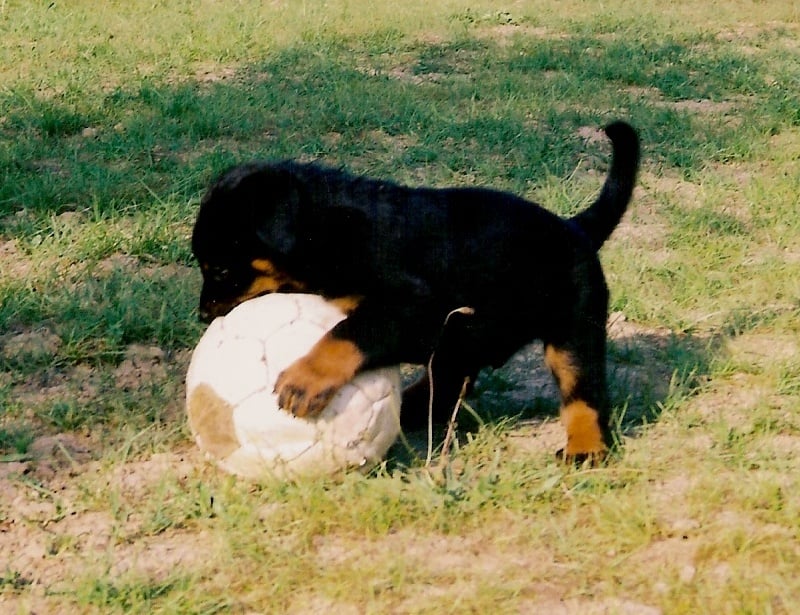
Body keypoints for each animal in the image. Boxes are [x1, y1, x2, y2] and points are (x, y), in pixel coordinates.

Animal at [192, 121, 636, 462]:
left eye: (221, 270)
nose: (203, 314)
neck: (328, 231)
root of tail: (575, 227)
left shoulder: (411, 305)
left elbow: (349, 331)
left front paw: (306, 378)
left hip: (573, 328)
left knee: (584, 394)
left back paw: (585, 448)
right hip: (464, 341)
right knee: (448, 382)